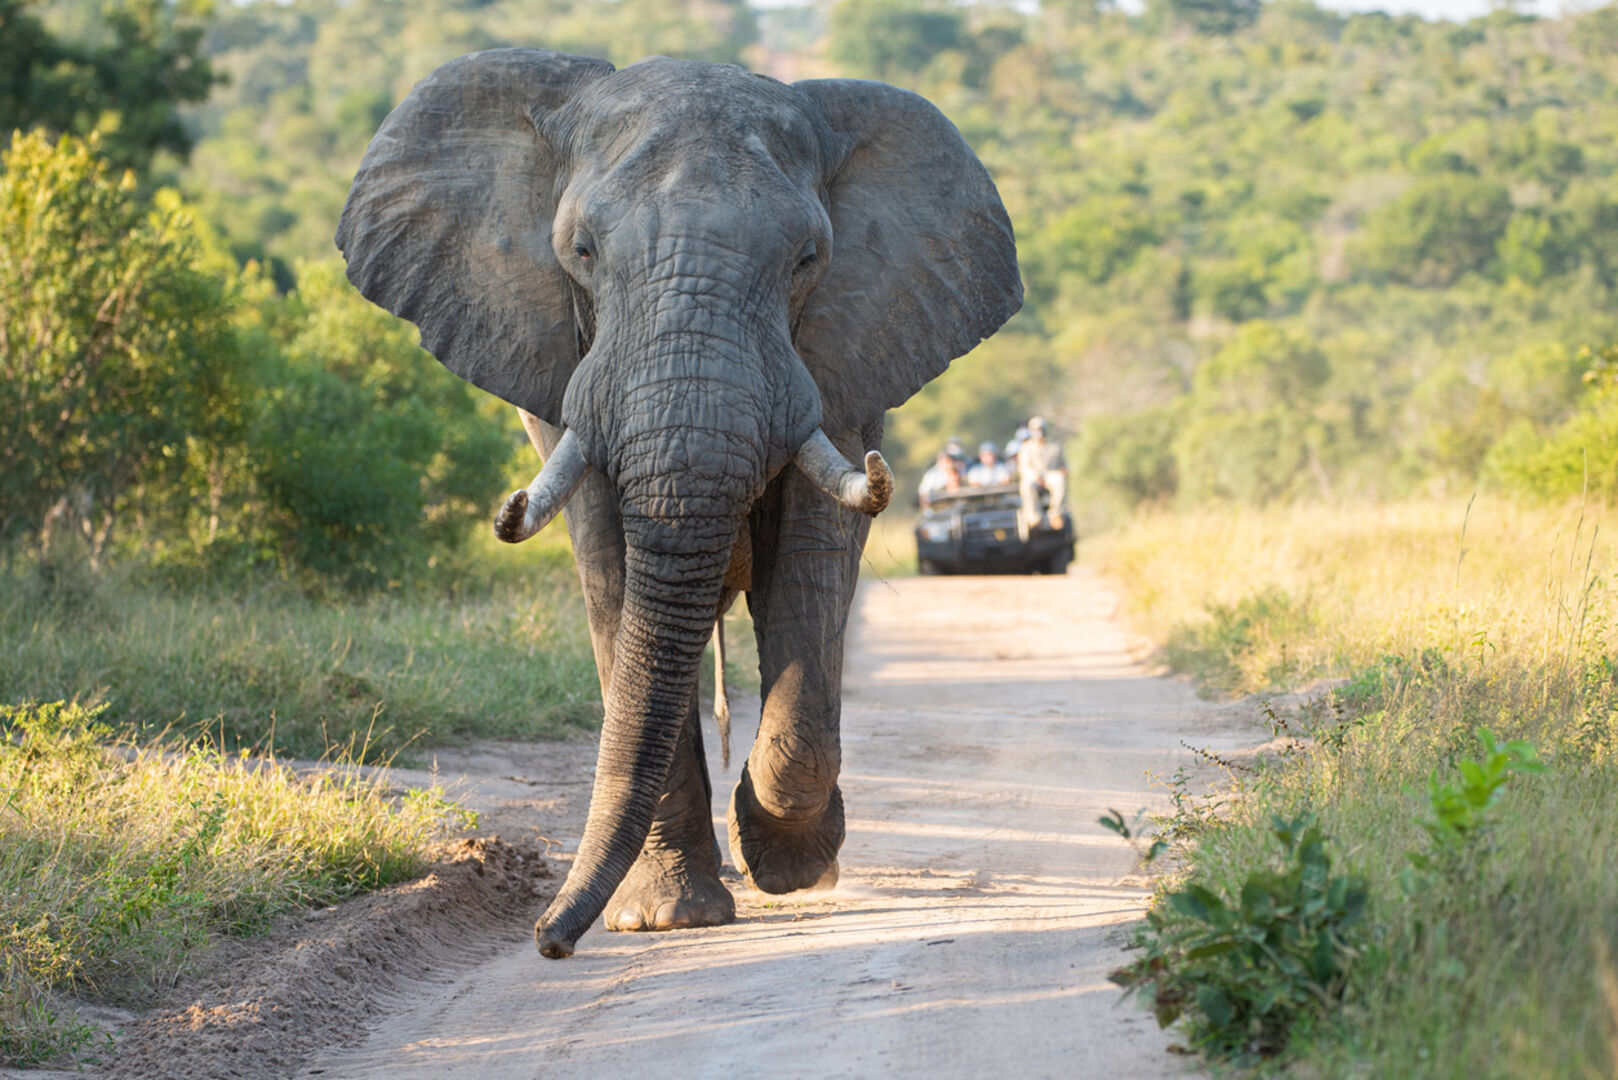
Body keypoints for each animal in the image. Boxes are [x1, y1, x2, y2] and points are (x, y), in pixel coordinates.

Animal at [336, 48, 1020, 959]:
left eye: (808, 258)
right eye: (581, 250)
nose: (549, 940)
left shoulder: (842, 360)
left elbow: (809, 572)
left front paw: (784, 861)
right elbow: (614, 579)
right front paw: (663, 917)